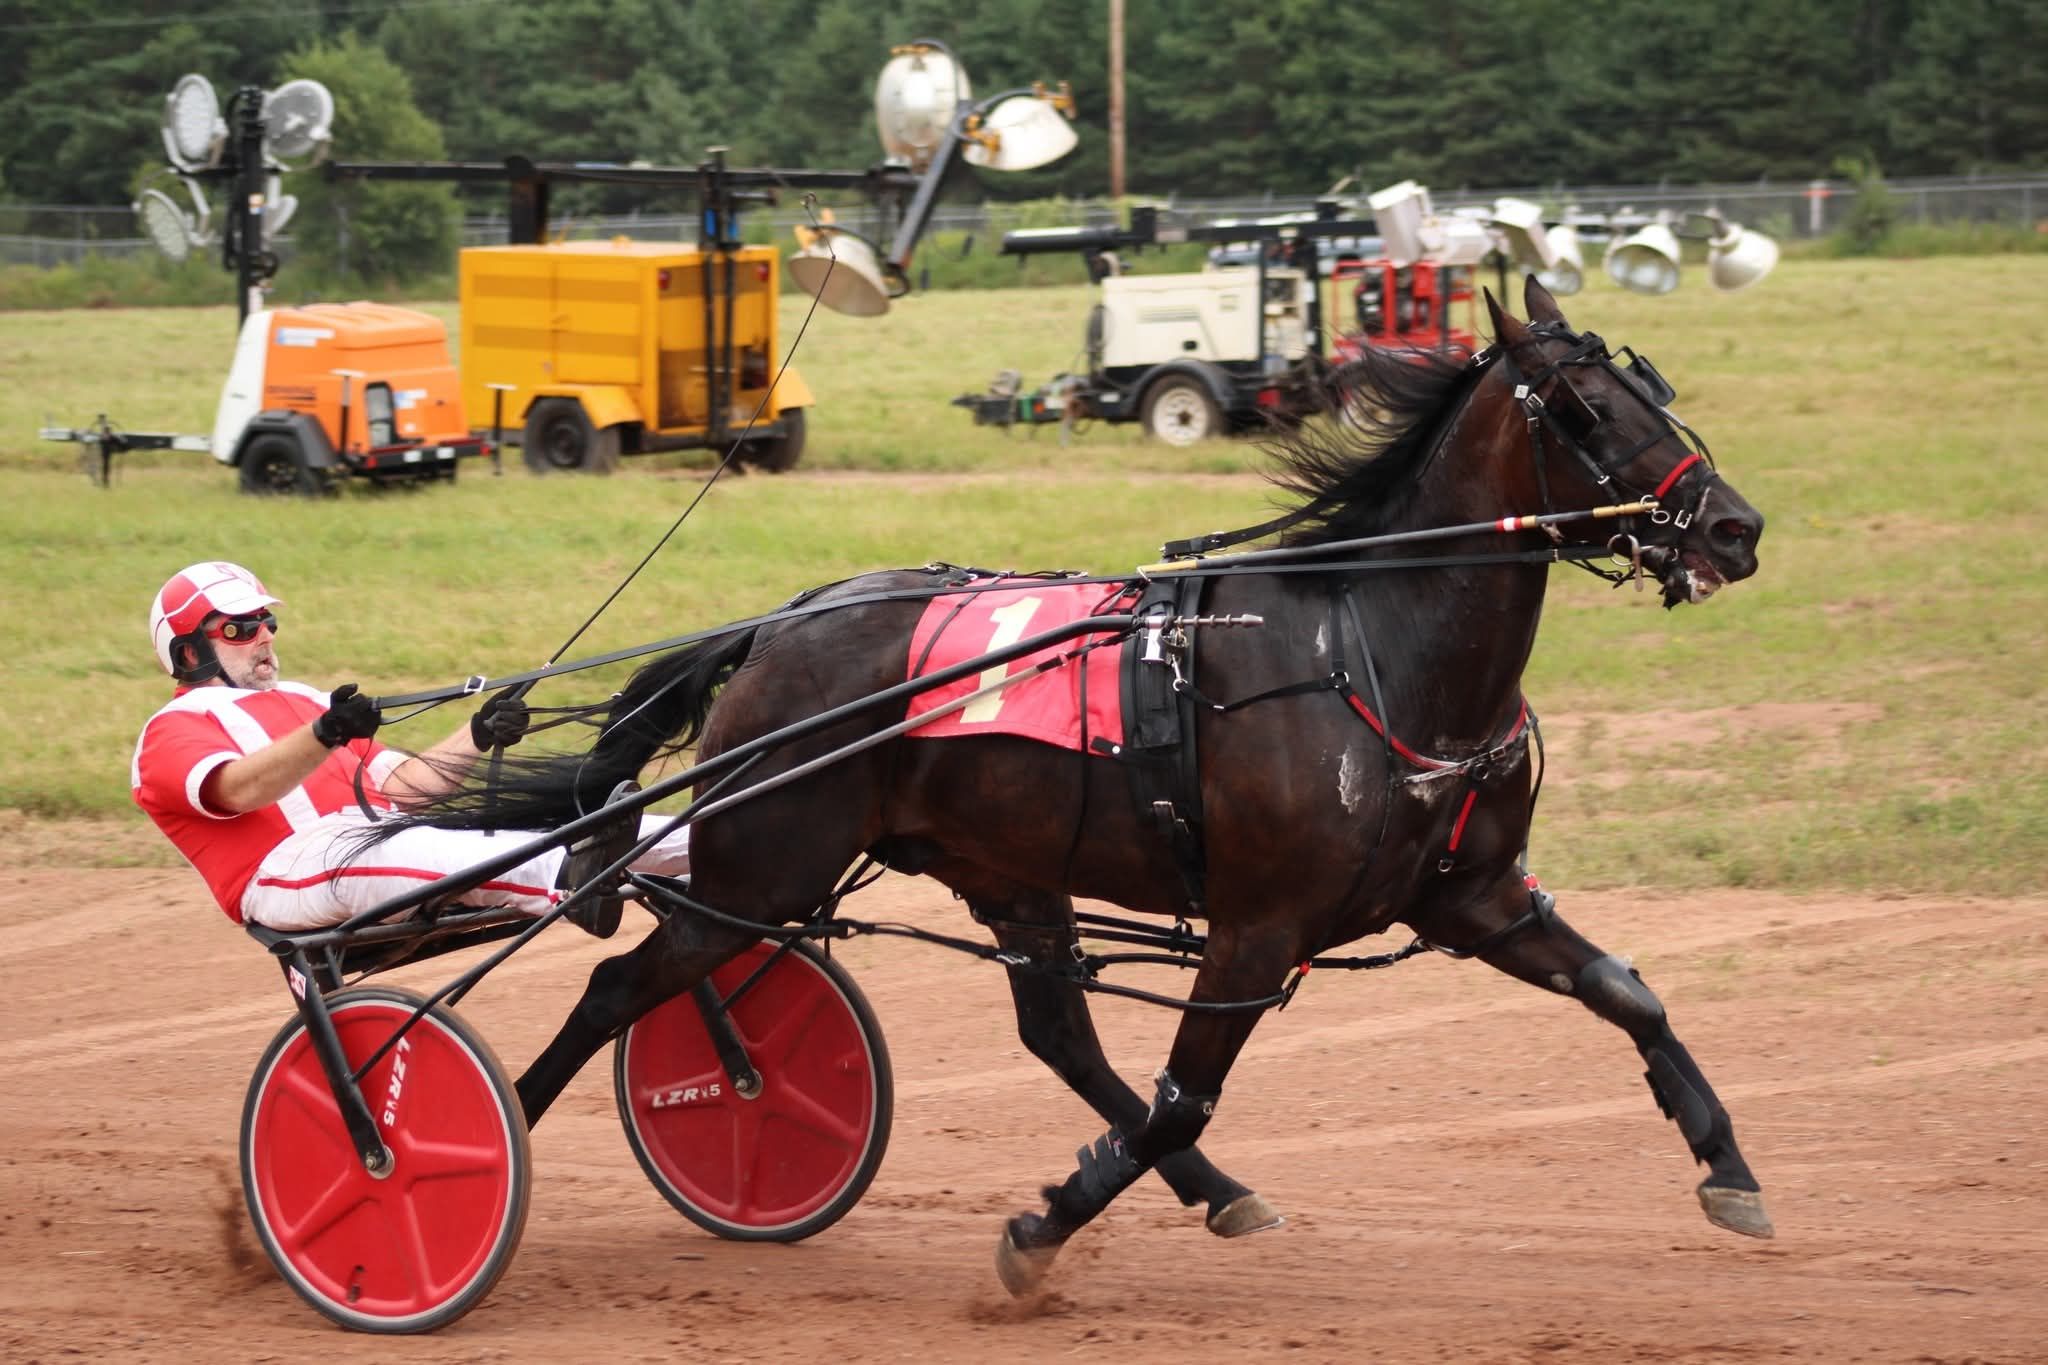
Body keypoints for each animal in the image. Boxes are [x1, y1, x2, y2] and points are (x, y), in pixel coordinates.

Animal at [404, 276, 1771, 1294]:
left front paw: (1730, 1173)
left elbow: (1628, 994)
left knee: (1054, 1032)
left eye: (1651, 385)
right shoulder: (1256, 927)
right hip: (763, 866)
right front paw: (1037, 1229)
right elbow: (1181, 1100)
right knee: (614, 987)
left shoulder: (1471, 896)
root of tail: (777, 626)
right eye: (1582, 408)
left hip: (1000, 869)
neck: (1368, 646)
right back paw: (479, 1134)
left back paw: (1214, 1196)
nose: (1731, 528)